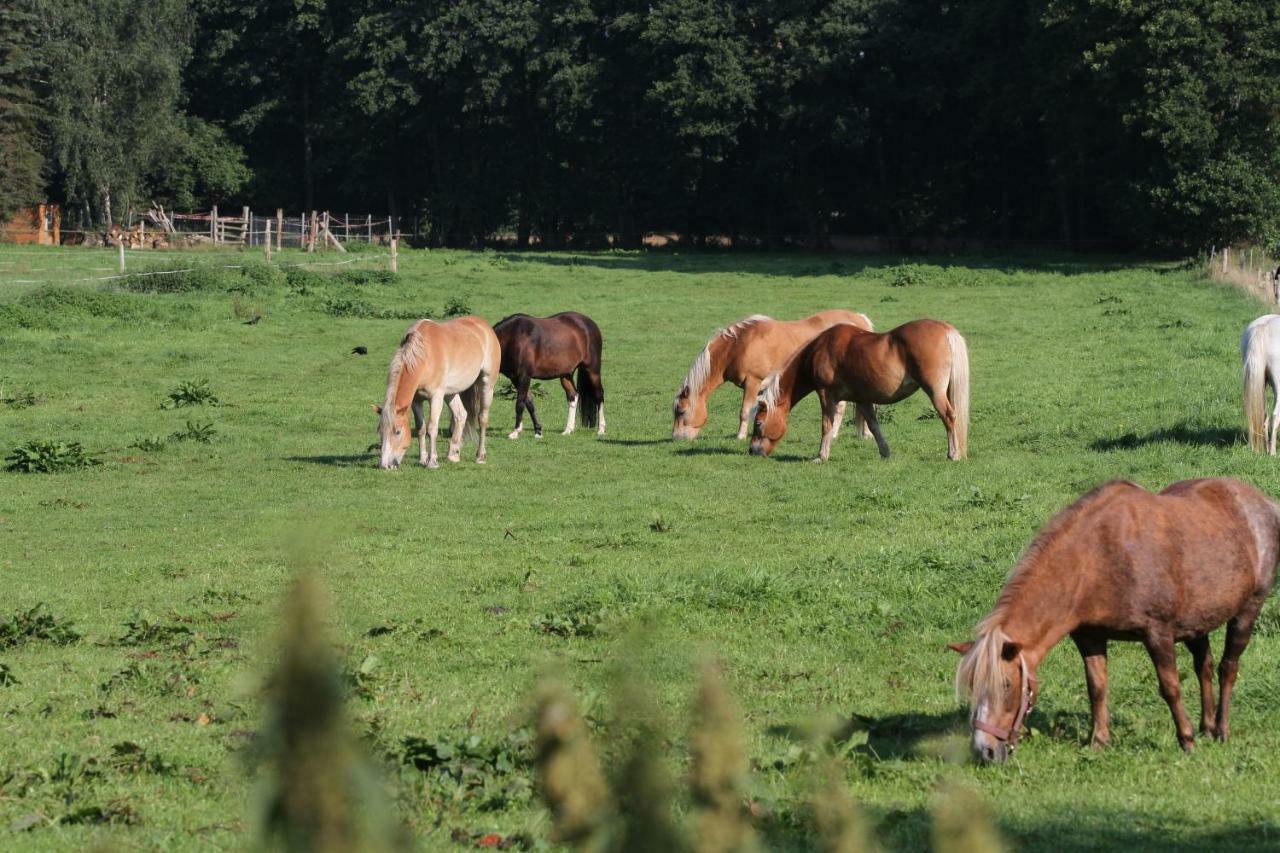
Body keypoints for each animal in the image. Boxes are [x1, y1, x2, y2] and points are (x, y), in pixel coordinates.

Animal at [373, 315, 496, 468]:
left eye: (398, 432)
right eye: (380, 431)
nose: (385, 465)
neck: (425, 355)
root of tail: (484, 325)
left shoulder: (436, 397)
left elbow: (432, 428)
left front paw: (432, 461)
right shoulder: (416, 401)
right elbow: (421, 429)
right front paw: (422, 459)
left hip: (487, 384)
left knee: (482, 419)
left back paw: (480, 456)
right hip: (450, 393)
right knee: (461, 415)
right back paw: (453, 454)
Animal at [670, 307, 870, 438]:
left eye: (681, 411)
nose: (676, 438)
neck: (740, 345)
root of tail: (860, 320)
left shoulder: (752, 382)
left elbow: (744, 411)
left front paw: (740, 437)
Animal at [747, 318, 962, 461]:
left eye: (758, 423)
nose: (752, 451)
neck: (820, 350)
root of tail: (945, 329)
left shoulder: (826, 394)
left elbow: (827, 424)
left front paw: (821, 456)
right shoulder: (863, 399)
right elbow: (874, 426)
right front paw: (885, 453)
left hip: (935, 392)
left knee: (949, 416)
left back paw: (953, 454)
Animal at [952, 473, 1280, 758]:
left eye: (1007, 686)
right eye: (972, 687)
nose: (984, 752)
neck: (1096, 560)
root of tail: (1262, 502)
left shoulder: (1157, 633)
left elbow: (1170, 687)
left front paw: (1186, 741)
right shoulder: (1089, 637)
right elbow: (1097, 688)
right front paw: (1098, 741)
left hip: (1248, 609)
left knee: (1228, 668)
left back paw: (1221, 730)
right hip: (1196, 623)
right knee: (1205, 667)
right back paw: (1207, 727)